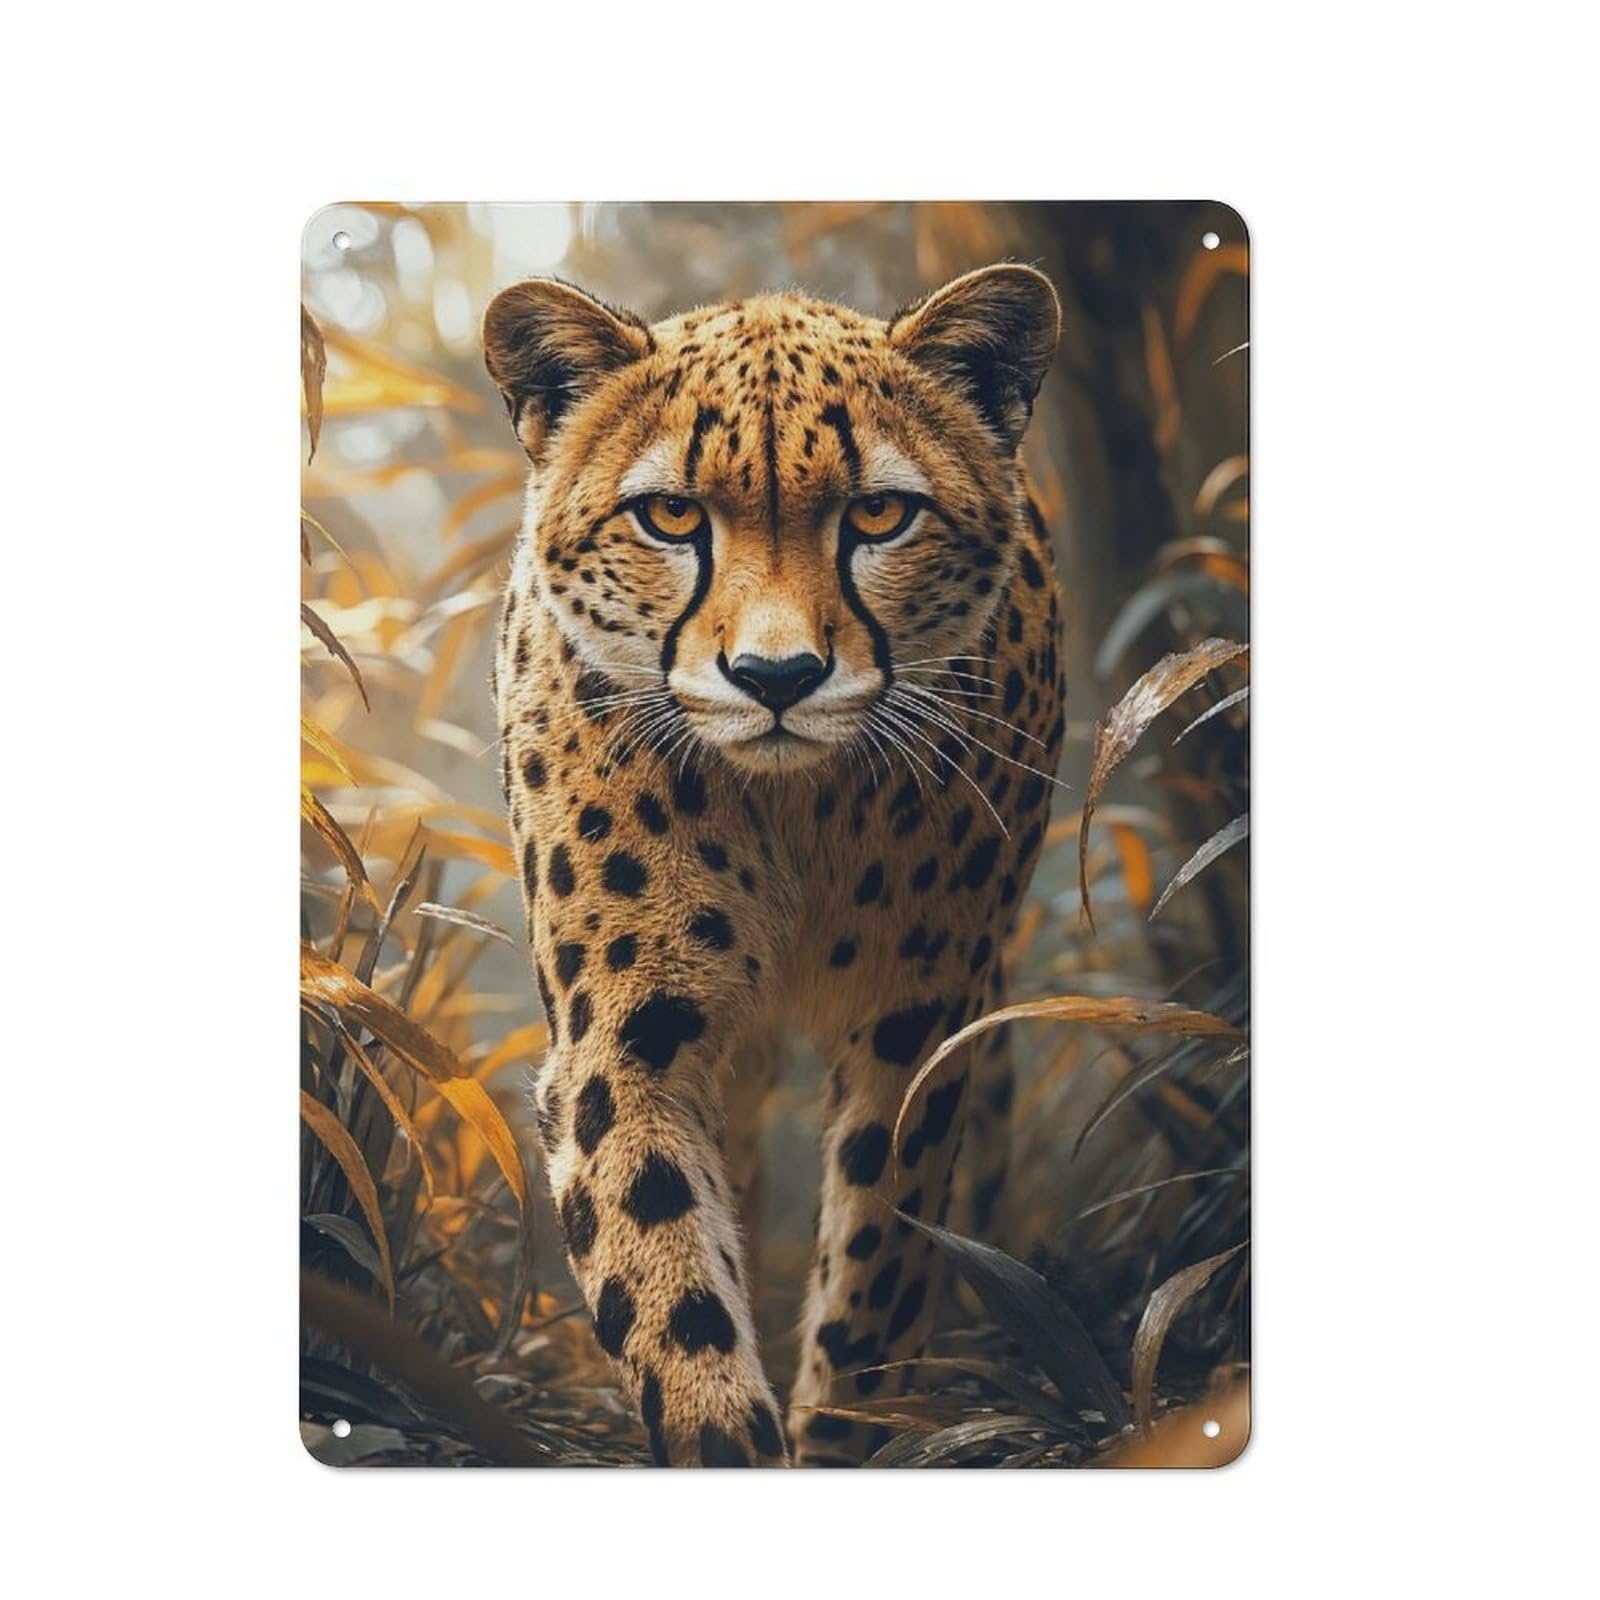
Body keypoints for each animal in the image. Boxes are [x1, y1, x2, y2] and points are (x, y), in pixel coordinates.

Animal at [483, 262, 1065, 1466]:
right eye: (670, 515)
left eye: (880, 513)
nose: (777, 676)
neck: (798, 808)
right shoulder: (629, 1038)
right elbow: (665, 1270)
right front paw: (728, 1433)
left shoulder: (916, 1029)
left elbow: (881, 1263)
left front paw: (851, 1430)